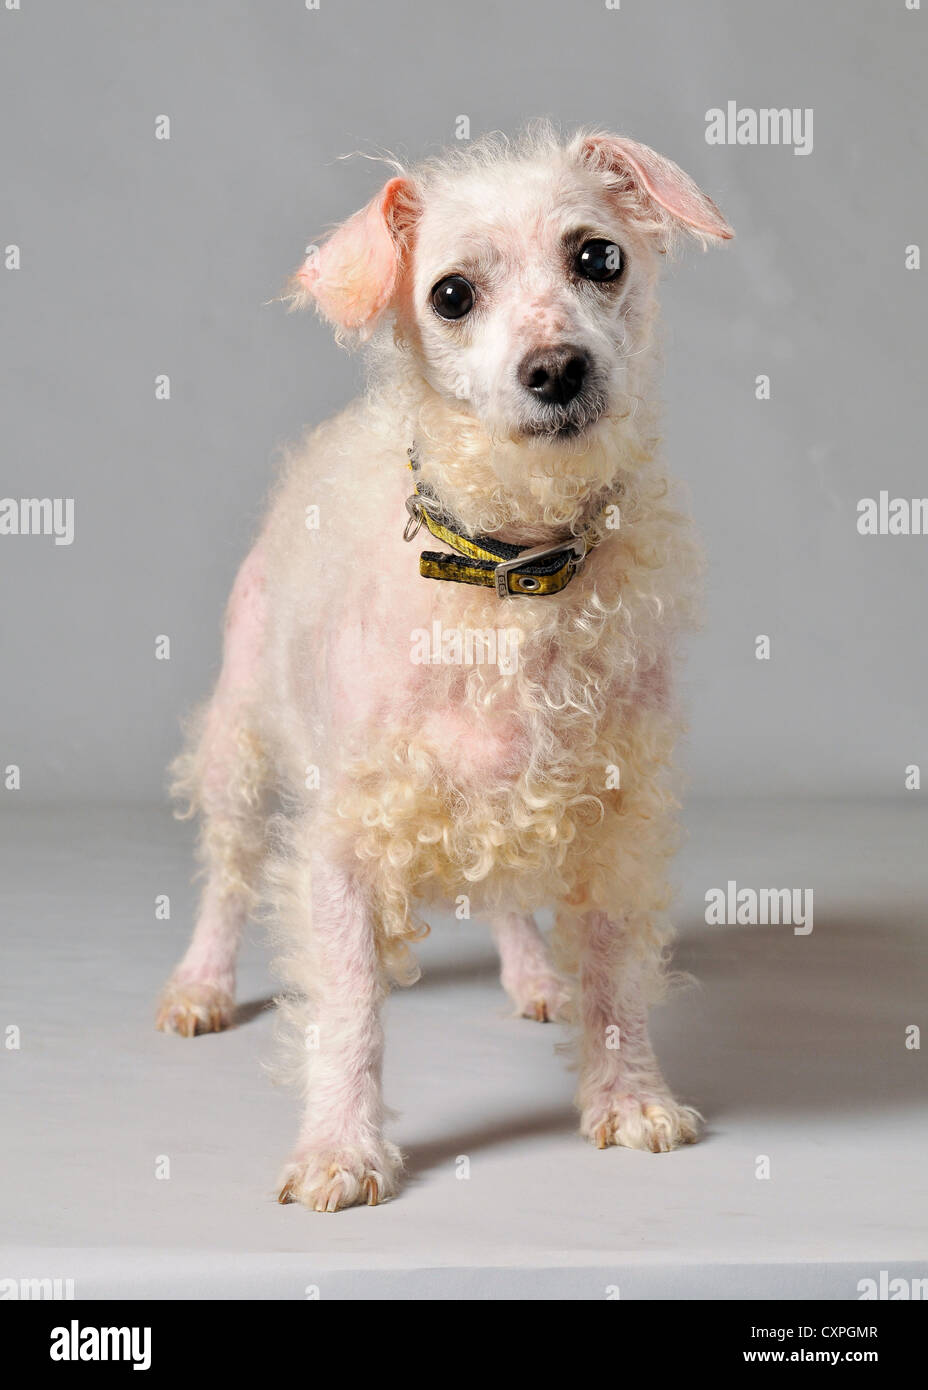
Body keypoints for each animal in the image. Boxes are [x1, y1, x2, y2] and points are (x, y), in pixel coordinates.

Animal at [155, 125, 733, 1212]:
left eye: (600, 256)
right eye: (452, 294)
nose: (557, 368)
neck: (509, 569)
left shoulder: (615, 820)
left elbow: (615, 976)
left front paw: (628, 1094)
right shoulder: (342, 841)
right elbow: (347, 1007)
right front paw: (340, 1148)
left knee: (504, 891)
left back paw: (534, 976)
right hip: (240, 750)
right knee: (227, 873)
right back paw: (201, 982)